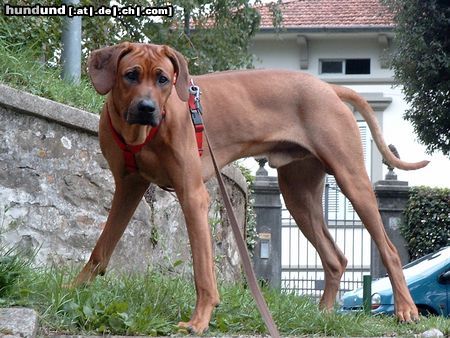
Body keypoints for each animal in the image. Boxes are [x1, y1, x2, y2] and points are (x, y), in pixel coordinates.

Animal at [76, 41, 428, 332]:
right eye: (131, 75)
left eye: (163, 79)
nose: (147, 108)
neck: (140, 134)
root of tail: (328, 87)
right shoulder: (128, 187)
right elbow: (101, 249)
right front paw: (75, 289)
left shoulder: (193, 195)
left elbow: (202, 270)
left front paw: (199, 320)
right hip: (299, 195)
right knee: (335, 257)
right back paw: (324, 314)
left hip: (351, 179)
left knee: (390, 250)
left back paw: (406, 310)